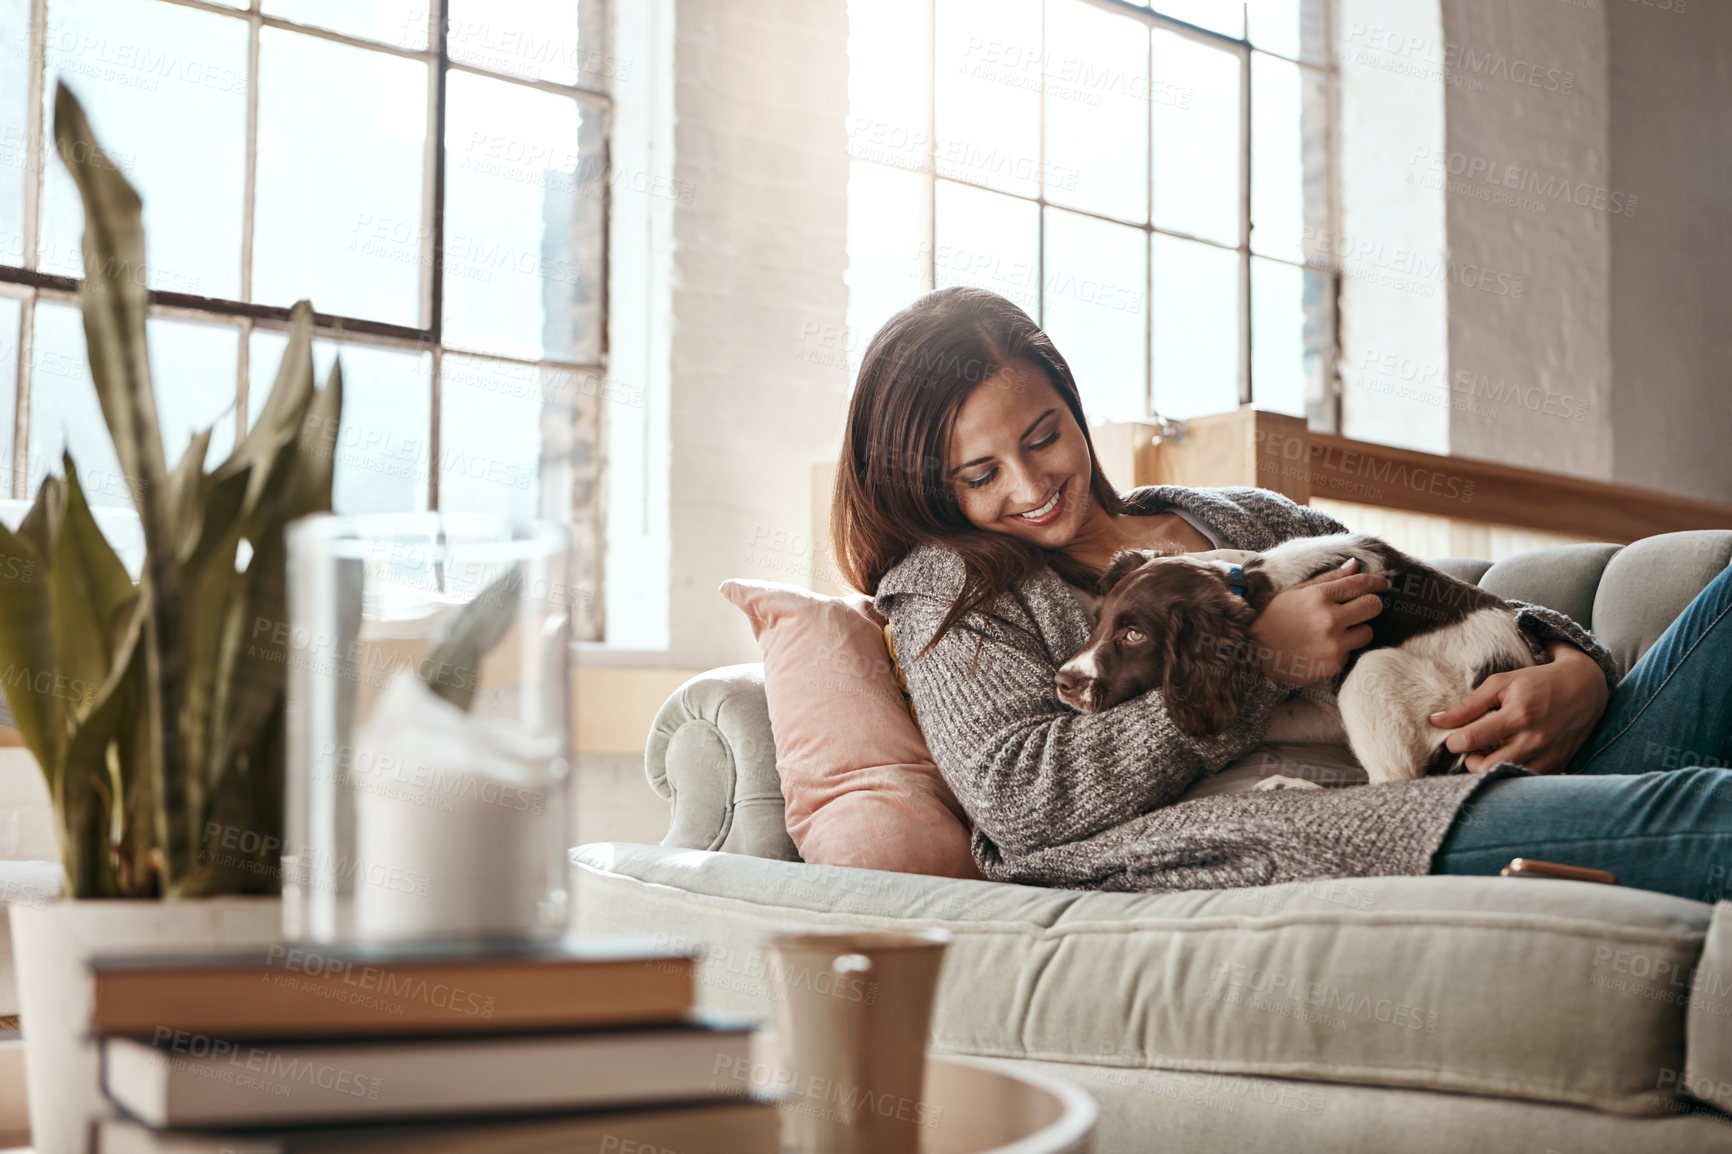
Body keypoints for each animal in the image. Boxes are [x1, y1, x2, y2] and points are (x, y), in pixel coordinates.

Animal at [1046, 530, 1538, 783]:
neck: (1256, 585)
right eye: (1098, 623)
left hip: (1372, 672)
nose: (1063, 682)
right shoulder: (1323, 712)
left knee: (1393, 782)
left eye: (1134, 635)